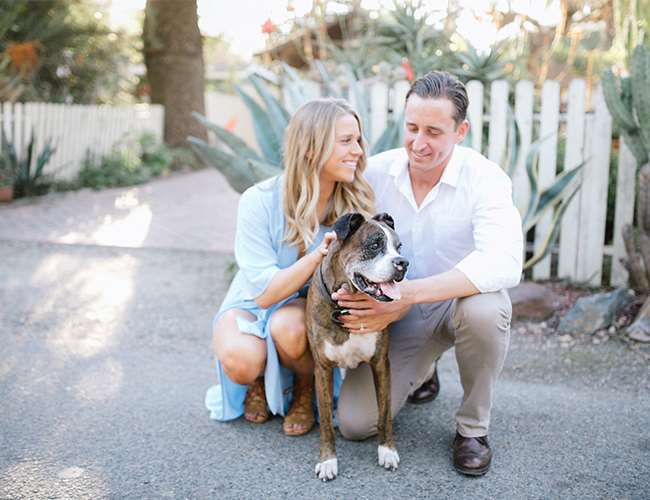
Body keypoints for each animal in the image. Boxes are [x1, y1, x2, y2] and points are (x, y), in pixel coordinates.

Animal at [306, 213, 408, 482]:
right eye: (374, 245)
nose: (403, 263)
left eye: (399, 247)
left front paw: (387, 450)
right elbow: (326, 425)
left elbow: (384, 412)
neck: (345, 307)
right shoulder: (322, 369)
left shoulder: (381, 363)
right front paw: (328, 461)